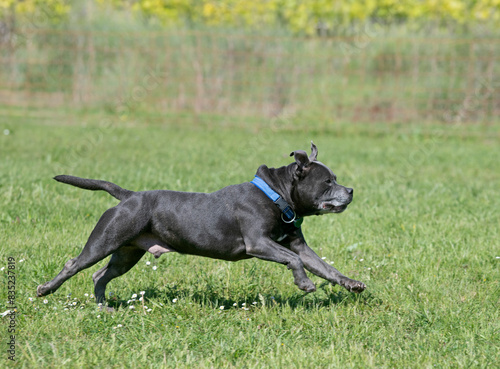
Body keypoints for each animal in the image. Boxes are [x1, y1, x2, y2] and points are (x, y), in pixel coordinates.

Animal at [38, 141, 368, 302]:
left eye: (335, 179)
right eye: (327, 182)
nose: (352, 190)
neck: (278, 195)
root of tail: (129, 196)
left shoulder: (298, 246)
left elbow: (325, 267)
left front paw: (351, 284)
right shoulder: (259, 243)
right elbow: (293, 261)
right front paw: (305, 284)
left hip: (127, 253)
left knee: (100, 276)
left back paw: (103, 307)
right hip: (105, 240)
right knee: (74, 265)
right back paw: (46, 290)